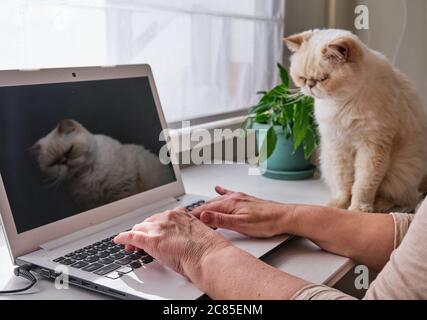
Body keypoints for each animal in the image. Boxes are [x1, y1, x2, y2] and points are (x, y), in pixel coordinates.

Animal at [286, 29, 427, 212]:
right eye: (302, 78)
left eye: (323, 79)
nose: (310, 85)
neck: (341, 104)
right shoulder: (338, 146)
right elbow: (344, 184)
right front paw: (338, 206)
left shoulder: (372, 148)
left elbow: (363, 186)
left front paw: (357, 210)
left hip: (402, 172)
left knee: (400, 198)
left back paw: (378, 206)